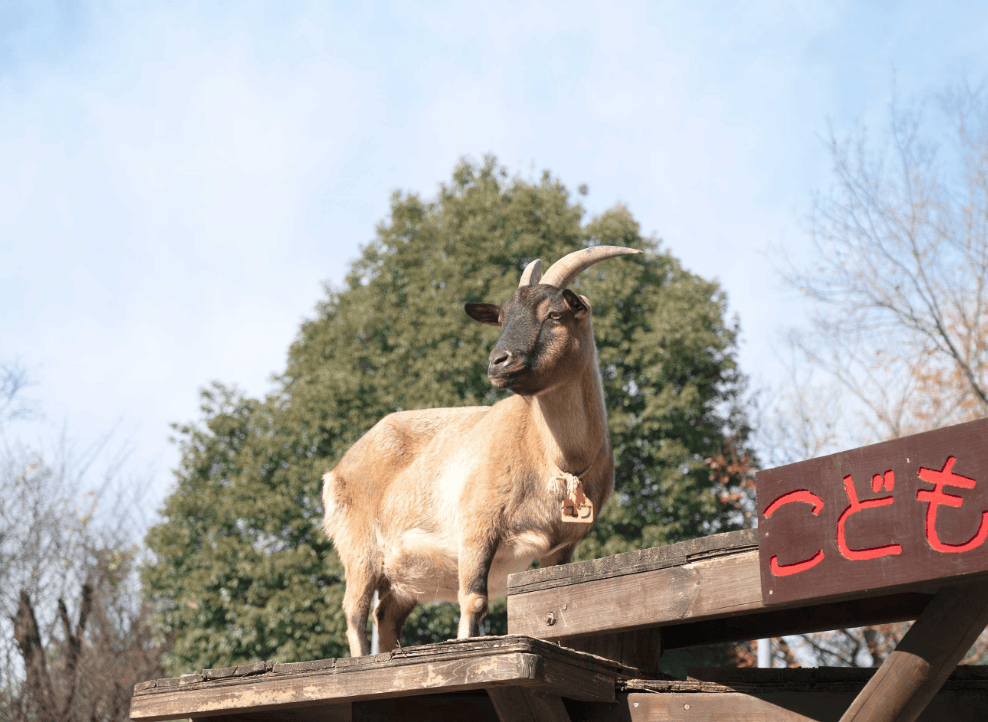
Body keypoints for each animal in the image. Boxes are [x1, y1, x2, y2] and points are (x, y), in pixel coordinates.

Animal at [320, 245, 640, 656]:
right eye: (502, 317)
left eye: (555, 313)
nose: (498, 361)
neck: (555, 460)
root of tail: (338, 469)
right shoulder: (477, 524)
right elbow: (473, 599)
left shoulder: (561, 546)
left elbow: (550, 596)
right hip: (359, 546)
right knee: (355, 612)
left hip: (403, 575)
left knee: (385, 614)